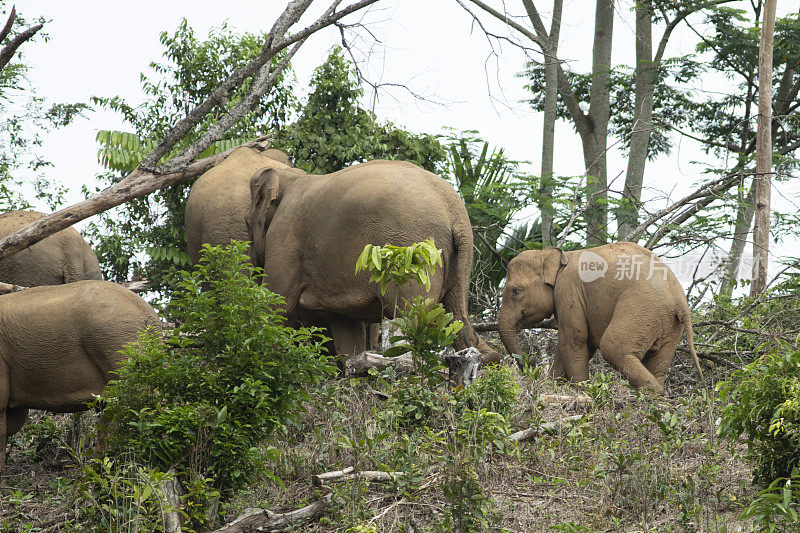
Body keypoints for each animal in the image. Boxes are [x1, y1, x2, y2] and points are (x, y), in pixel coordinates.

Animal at [247, 158, 496, 362]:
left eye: (248, 223)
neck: (291, 176)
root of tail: (457, 213)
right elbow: (347, 329)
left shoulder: (286, 236)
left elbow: (276, 304)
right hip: (457, 262)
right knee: (456, 321)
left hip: (415, 252)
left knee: (414, 318)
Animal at [496, 241, 704, 390]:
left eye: (515, 292)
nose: (530, 364)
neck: (559, 256)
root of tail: (681, 302)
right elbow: (576, 344)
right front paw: (553, 386)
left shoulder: (568, 290)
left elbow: (574, 339)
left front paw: (582, 390)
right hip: (670, 325)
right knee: (657, 363)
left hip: (642, 308)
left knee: (613, 347)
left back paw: (654, 395)